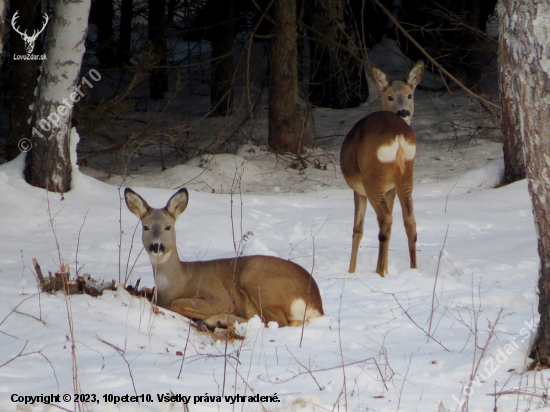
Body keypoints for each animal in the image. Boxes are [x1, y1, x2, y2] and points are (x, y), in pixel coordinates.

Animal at [125, 189, 324, 328]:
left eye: (168, 226)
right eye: (145, 227)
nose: (156, 246)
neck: (179, 281)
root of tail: (316, 304)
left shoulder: (218, 296)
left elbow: (176, 303)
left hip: (255, 278)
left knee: (276, 322)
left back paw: (214, 321)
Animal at [340, 60, 426, 276]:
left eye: (410, 95)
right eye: (390, 96)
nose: (404, 112)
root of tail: (398, 136)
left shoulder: (358, 190)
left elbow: (357, 229)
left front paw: (351, 271)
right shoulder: (391, 189)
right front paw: (387, 269)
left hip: (372, 178)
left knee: (385, 220)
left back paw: (378, 272)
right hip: (406, 174)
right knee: (409, 220)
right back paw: (413, 268)